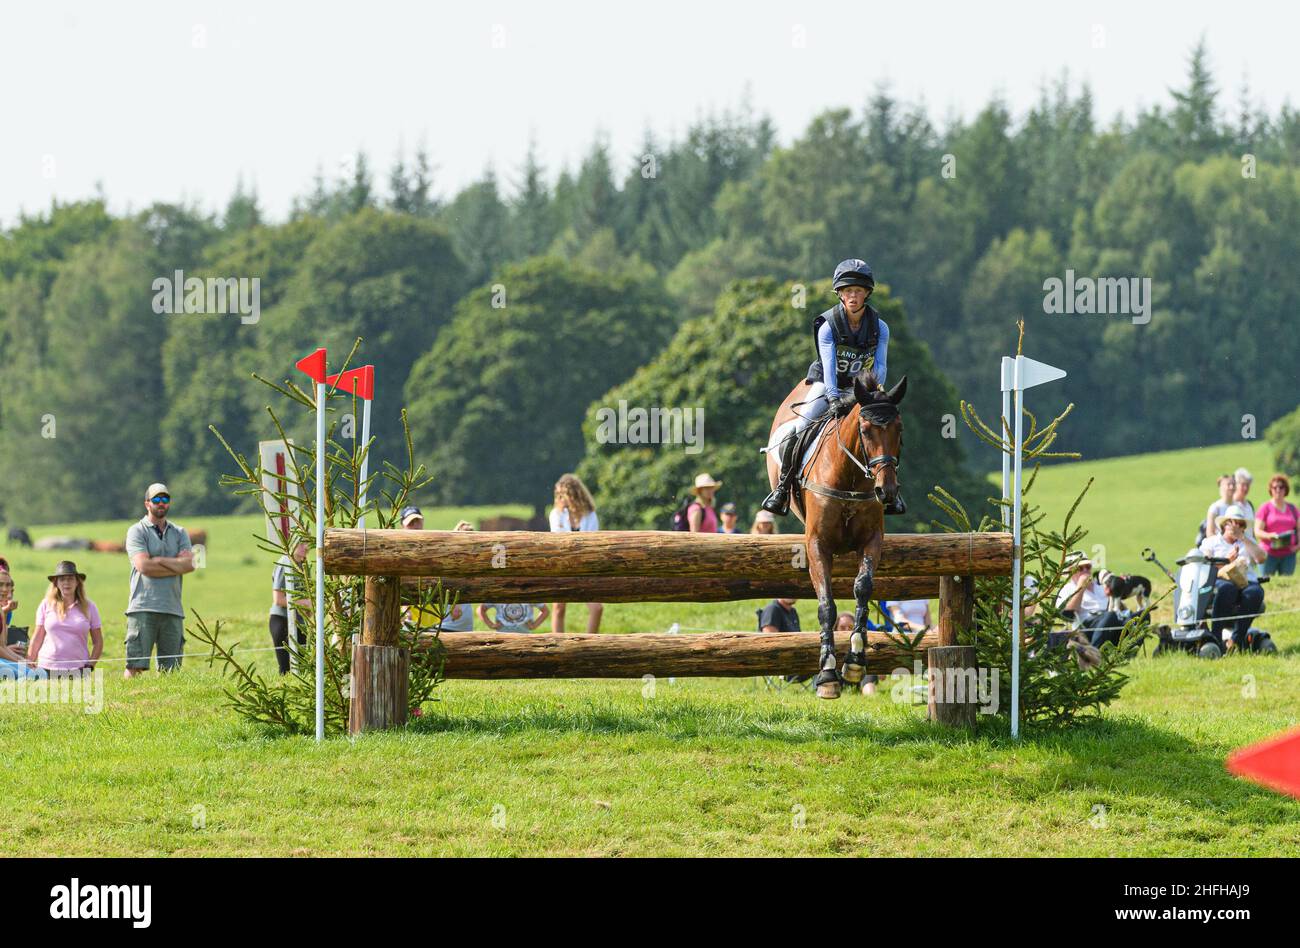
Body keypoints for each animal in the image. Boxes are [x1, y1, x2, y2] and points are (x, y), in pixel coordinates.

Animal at [759, 366, 904, 697]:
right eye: (865, 430)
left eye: (899, 431)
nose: (886, 491)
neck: (850, 476)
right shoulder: (817, 544)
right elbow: (827, 605)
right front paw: (826, 674)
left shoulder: (872, 541)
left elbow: (863, 589)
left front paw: (855, 661)